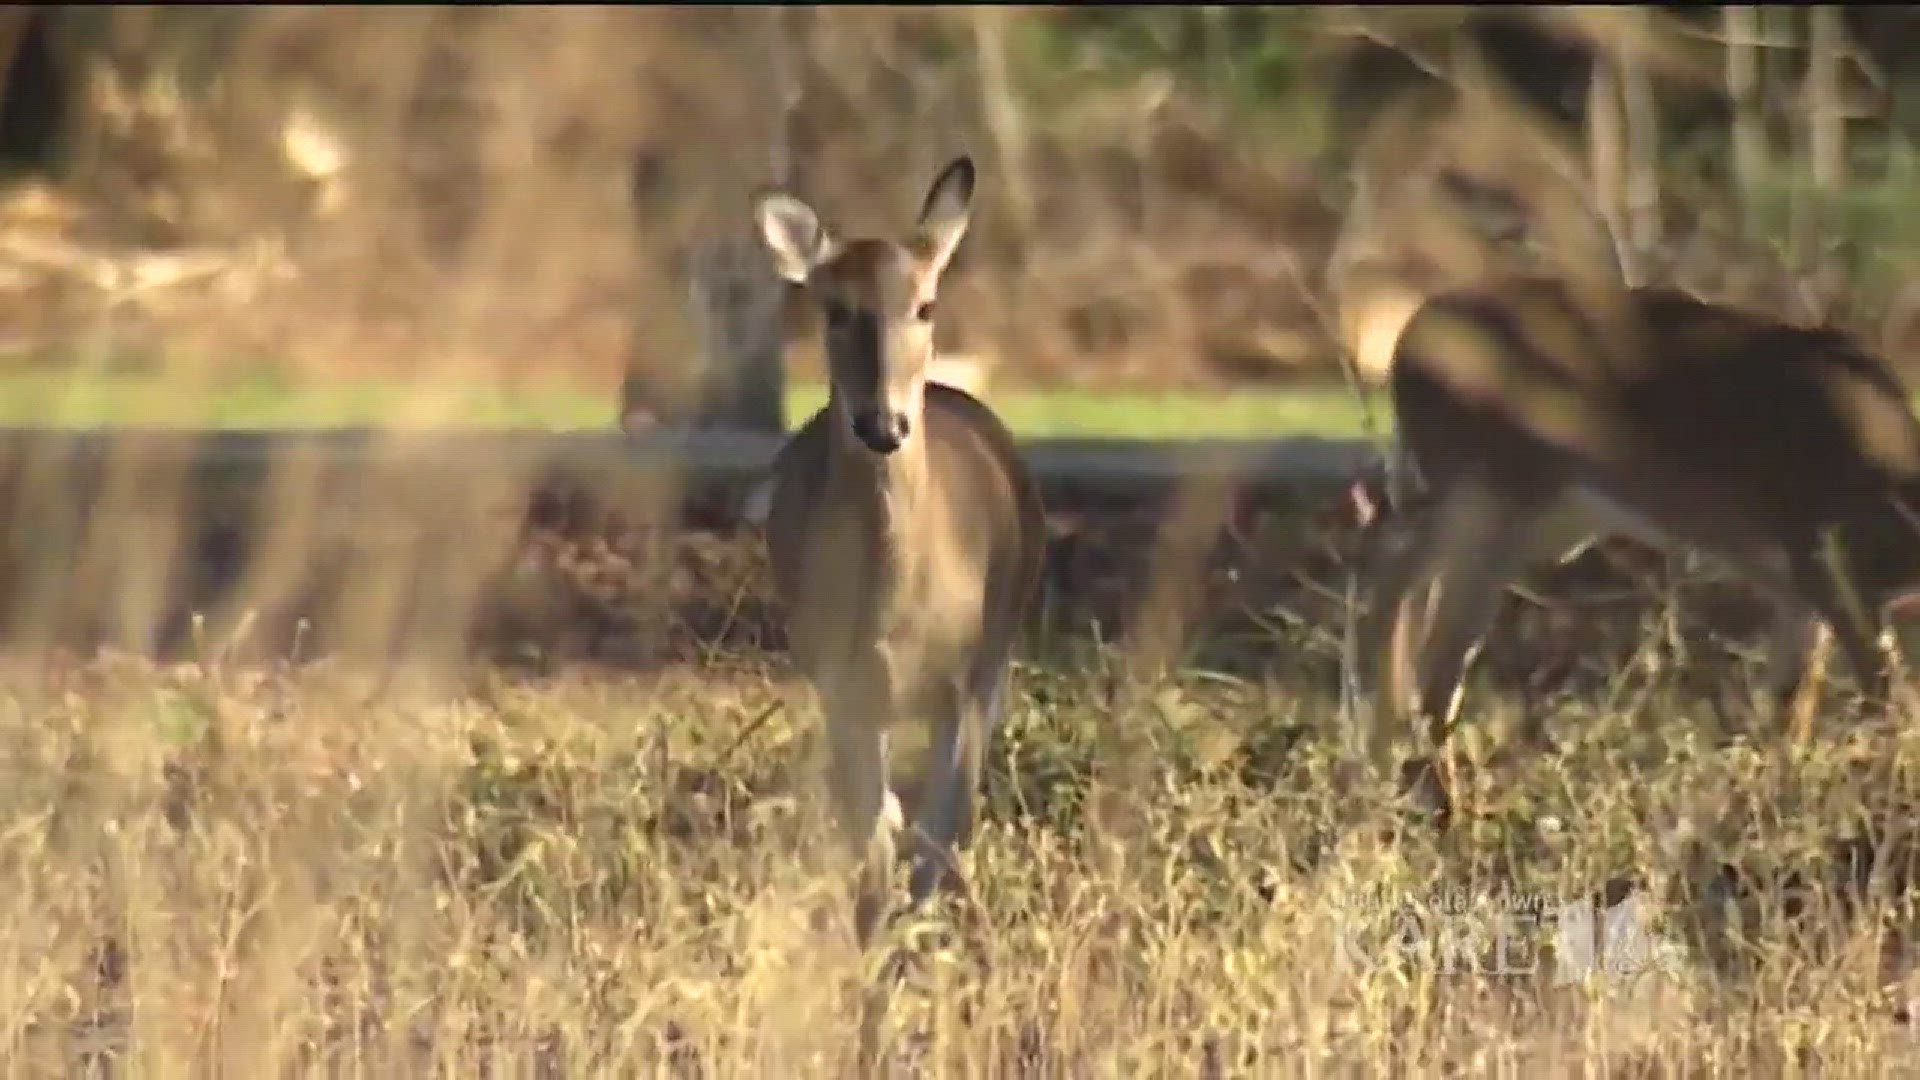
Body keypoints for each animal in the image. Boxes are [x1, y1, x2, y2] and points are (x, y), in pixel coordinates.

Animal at [752, 157, 1052, 941]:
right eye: (834, 309)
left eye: (925, 306)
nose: (883, 423)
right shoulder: (843, 684)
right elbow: (875, 848)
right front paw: (872, 950)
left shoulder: (964, 681)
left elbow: (937, 836)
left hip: (994, 656)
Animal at [1351, 272, 1920, 810]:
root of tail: (1410, 338)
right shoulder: (1824, 562)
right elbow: (1880, 691)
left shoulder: (1798, 584)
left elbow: (1791, 700)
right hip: (1489, 492)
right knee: (1427, 622)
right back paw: (1428, 792)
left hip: (1538, 514)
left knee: (1402, 570)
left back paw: (1391, 764)